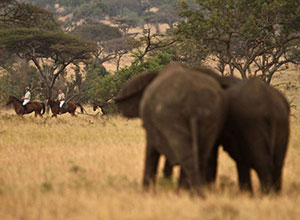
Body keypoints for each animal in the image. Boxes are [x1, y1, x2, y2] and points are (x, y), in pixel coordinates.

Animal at [115, 62, 227, 193]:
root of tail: (193, 102)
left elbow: (151, 152)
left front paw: (146, 192)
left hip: (171, 116)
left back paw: (186, 192)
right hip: (210, 115)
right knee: (200, 155)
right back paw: (190, 192)